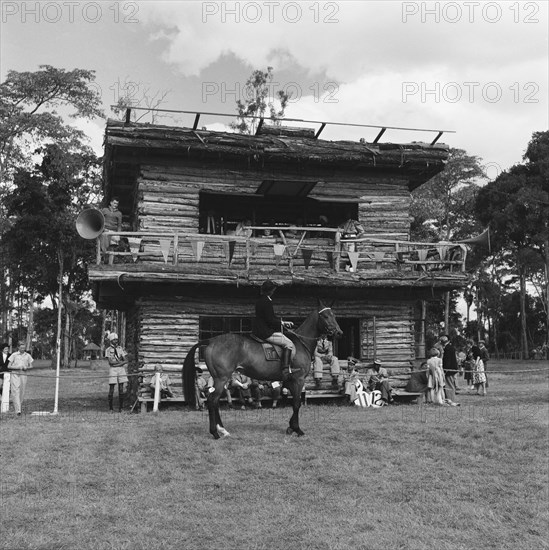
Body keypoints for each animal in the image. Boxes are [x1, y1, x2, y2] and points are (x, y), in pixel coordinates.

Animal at [182, 300, 340, 442]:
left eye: (333, 315)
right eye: (325, 316)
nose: (339, 332)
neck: (300, 344)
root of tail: (211, 341)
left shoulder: (290, 381)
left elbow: (294, 403)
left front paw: (290, 427)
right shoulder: (298, 380)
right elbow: (296, 404)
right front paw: (297, 429)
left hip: (219, 379)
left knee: (213, 401)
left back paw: (223, 430)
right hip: (222, 379)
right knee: (212, 400)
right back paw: (215, 433)